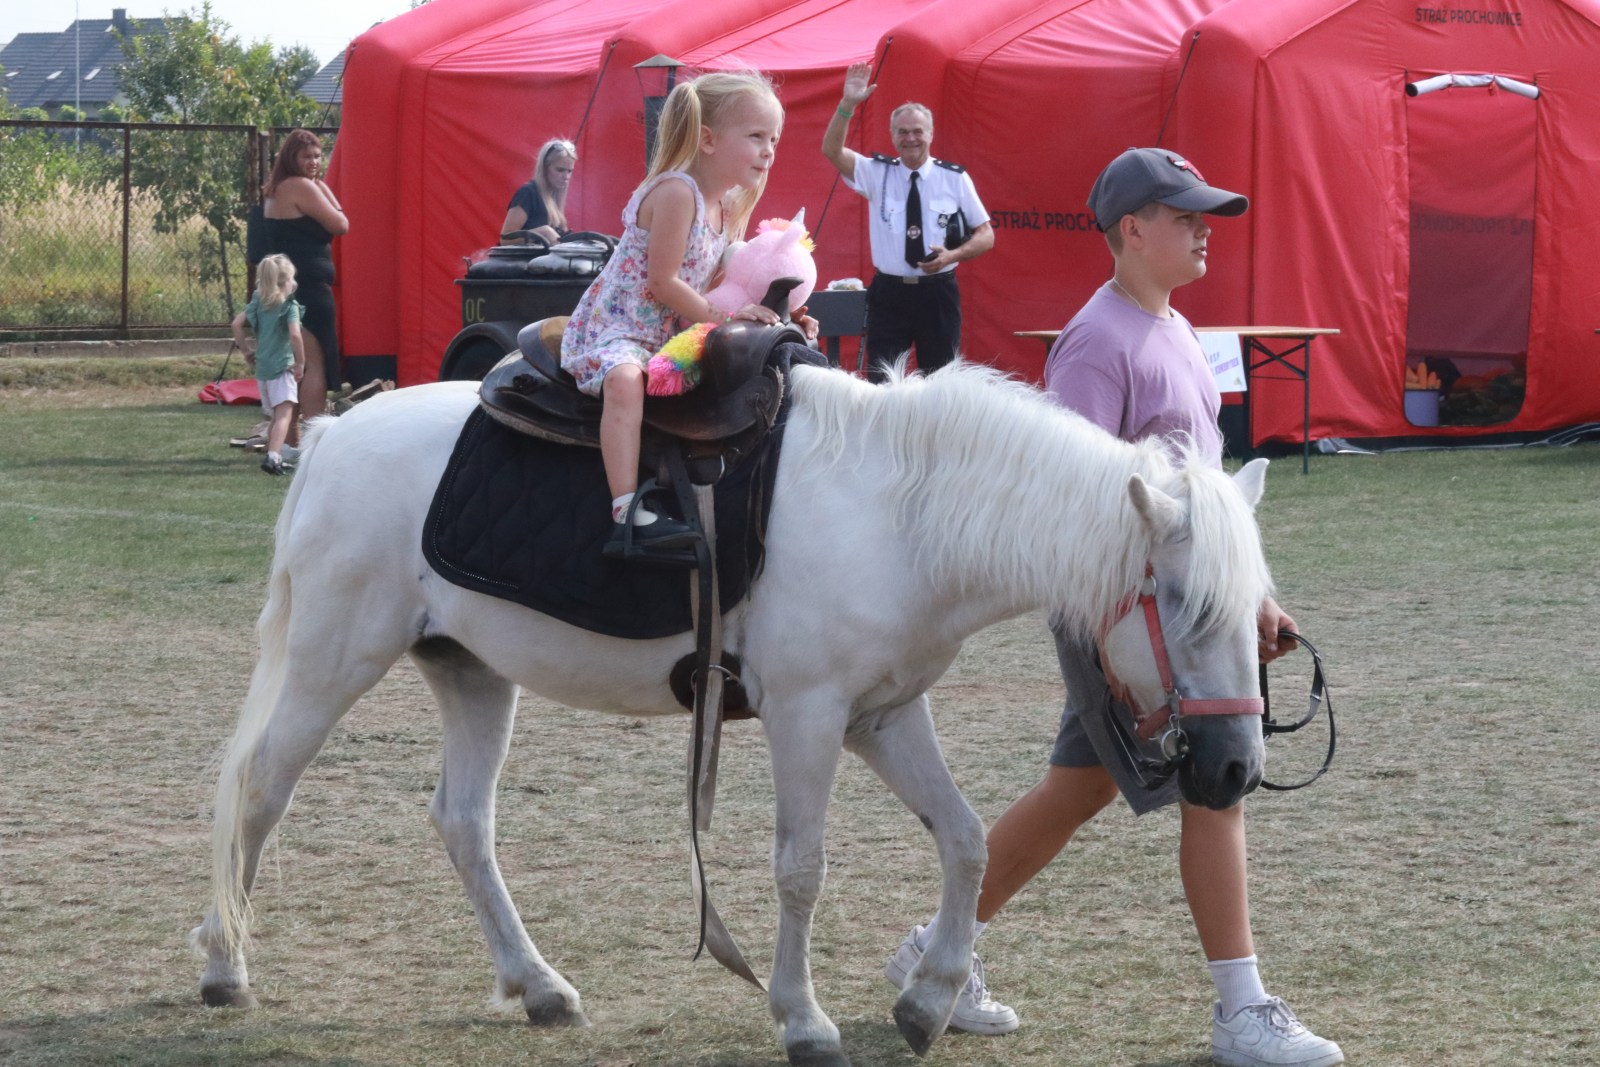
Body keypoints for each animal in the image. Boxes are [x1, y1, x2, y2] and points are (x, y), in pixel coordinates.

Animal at [190, 361, 1273, 1067]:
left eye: (1259, 610)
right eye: (1187, 604)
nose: (1233, 770)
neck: (900, 513)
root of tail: (333, 432)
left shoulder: (884, 714)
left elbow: (967, 840)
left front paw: (928, 1000)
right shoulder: (808, 714)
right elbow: (801, 866)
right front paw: (803, 1019)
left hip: (472, 675)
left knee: (463, 822)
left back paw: (539, 984)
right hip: (335, 656)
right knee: (261, 788)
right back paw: (226, 966)